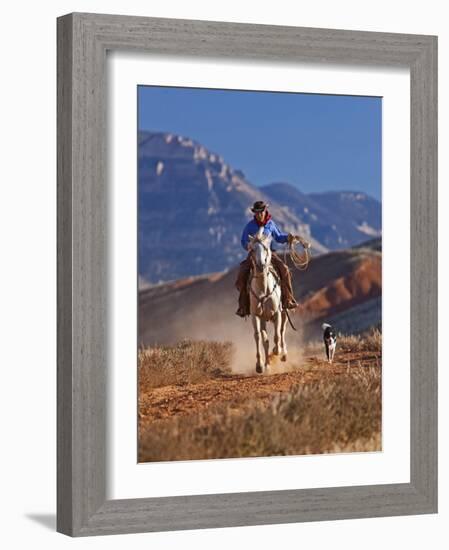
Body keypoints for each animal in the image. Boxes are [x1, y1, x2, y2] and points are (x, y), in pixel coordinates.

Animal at [247, 227, 288, 376]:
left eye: (265, 247)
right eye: (252, 249)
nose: (260, 265)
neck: (264, 289)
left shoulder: (277, 313)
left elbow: (277, 335)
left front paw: (277, 351)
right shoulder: (256, 316)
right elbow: (259, 337)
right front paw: (260, 365)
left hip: (284, 313)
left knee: (282, 331)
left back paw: (283, 354)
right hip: (264, 319)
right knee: (265, 340)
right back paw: (267, 365)